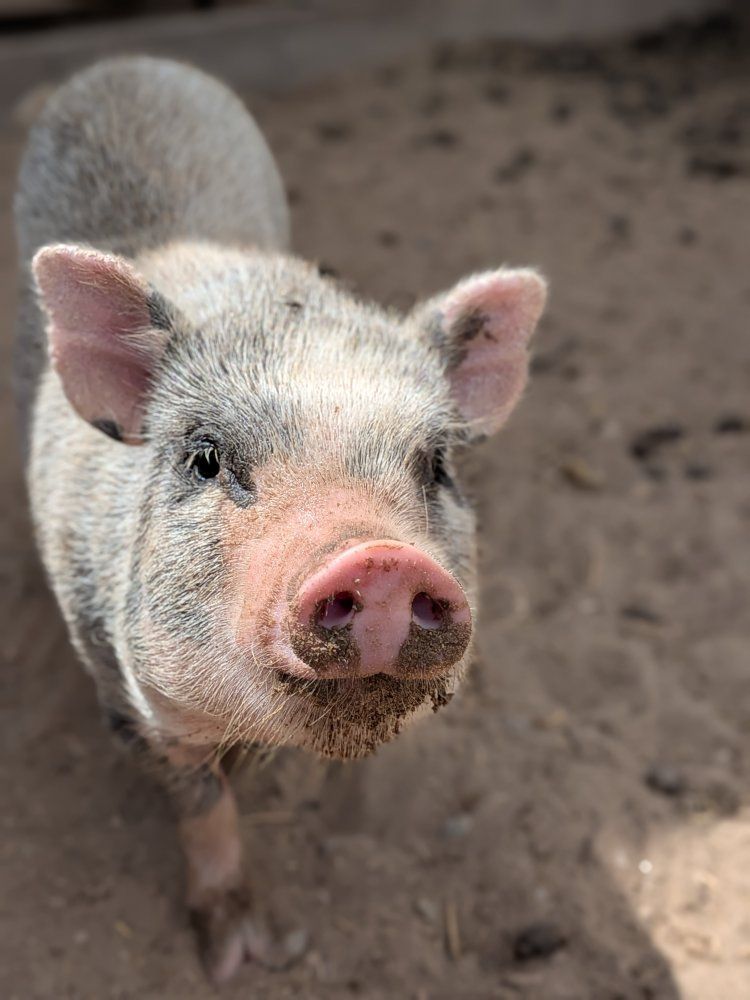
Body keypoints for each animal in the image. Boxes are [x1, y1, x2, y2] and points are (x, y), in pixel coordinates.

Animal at [14, 56, 546, 982]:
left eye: (435, 464)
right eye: (207, 458)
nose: (379, 558)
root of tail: (123, 64)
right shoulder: (130, 701)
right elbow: (204, 809)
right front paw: (236, 958)